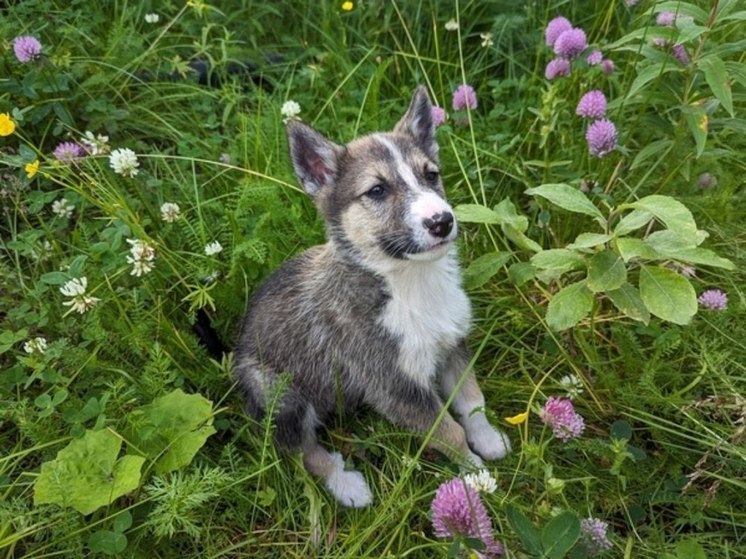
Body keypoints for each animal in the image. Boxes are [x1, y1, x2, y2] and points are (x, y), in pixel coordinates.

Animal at [235, 86, 508, 508]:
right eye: (377, 190)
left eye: (431, 175)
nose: (442, 221)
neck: (409, 281)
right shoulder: (395, 387)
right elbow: (448, 432)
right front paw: (475, 476)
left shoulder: (453, 345)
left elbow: (471, 401)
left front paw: (489, 440)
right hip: (280, 395)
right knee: (298, 449)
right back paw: (347, 485)